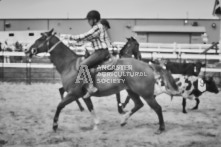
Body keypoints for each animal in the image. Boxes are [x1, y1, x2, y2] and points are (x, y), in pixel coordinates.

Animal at [25, 28, 179, 134]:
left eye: (39, 40)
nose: (28, 50)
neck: (70, 65)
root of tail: (147, 65)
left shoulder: (74, 94)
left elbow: (59, 106)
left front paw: (55, 125)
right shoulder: (84, 95)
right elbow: (90, 108)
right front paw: (96, 124)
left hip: (145, 94)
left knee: (157, 108)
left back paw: (161, 128)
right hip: (132, 91)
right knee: (138, 105)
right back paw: (123, 121)